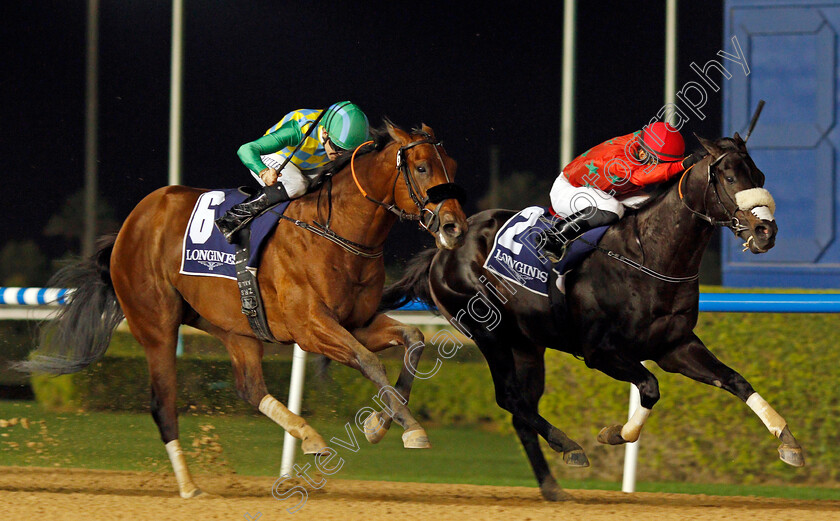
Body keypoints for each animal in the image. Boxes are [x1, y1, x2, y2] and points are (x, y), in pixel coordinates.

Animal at [13, 120, 470, 498]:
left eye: (451, 164)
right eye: (423, 168)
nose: (455, 227)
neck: (335, 230)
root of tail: (129, 226)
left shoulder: (356, 321)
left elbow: (414, 340)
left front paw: (381, 423)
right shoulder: (311, 326)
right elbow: (368, 362)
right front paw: (410, 429)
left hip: (236, 328)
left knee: (250, 388)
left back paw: (310, 438)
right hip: (156, 325)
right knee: (163, 404)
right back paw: (189, 487)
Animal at [378, 133, 800, 500]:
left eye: (760, 176)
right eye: (729, 177)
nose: (766, 231)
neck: (650, 256)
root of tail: (442, 251)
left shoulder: (675, 346)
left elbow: (736, 380)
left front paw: (788, 440)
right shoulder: (601, 352)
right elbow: (650, 387)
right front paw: (614, 434)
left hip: (527, 345)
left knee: (522, 410)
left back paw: (553, 487)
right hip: (487, 332)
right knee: (510, 398)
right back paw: (569, 446)